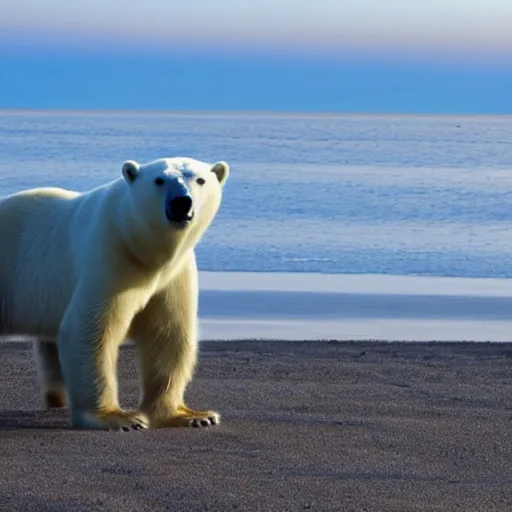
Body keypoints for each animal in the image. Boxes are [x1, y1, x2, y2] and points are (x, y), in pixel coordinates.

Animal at [0, 158, 229, 430]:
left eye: (200, 179)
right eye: (159, 180)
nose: (181, 202)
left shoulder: (173, 275)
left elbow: (167, 334)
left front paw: (192, 415)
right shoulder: (110, 257)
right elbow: (90, 331)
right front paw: (119, 418)